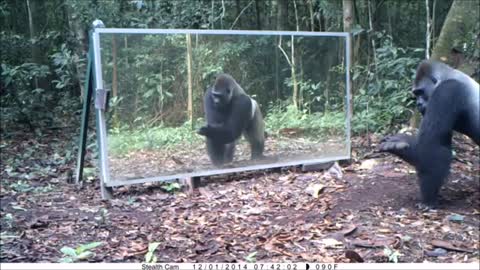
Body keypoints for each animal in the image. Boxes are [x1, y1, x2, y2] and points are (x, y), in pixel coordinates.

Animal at [378, 59, 480, 207]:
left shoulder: (446, 90)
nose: (418, 104)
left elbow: (432, 146)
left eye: (421, 92)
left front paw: (429, 199)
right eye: (416, 94)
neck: (448, 75)